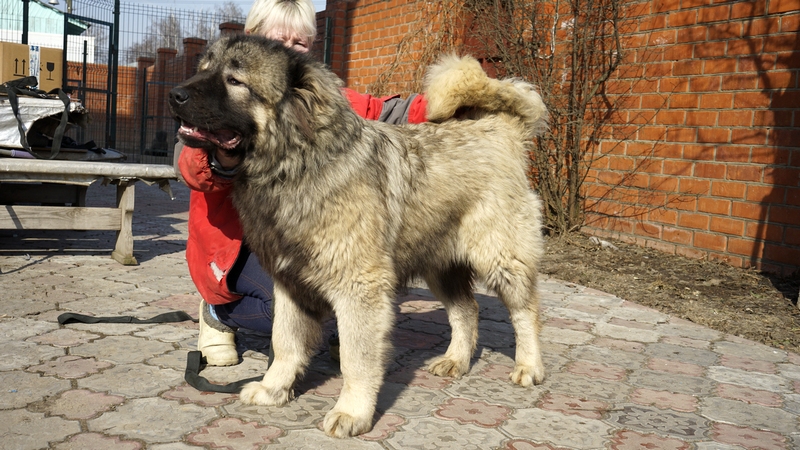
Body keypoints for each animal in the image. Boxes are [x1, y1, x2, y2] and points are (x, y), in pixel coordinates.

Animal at [166, 36, 548, 440]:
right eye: (204, 69)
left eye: (235, 81)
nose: (174, 95)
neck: (296, 165)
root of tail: (500, 128)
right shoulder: (289, 284)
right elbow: (284, 342)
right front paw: (274, 389)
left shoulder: (359, 290)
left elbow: (356, 358)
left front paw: (352, 411)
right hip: (439, 265)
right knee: (467, 310)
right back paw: (456, 360)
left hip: (501, 258)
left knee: (525, 312)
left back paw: (529, 366)